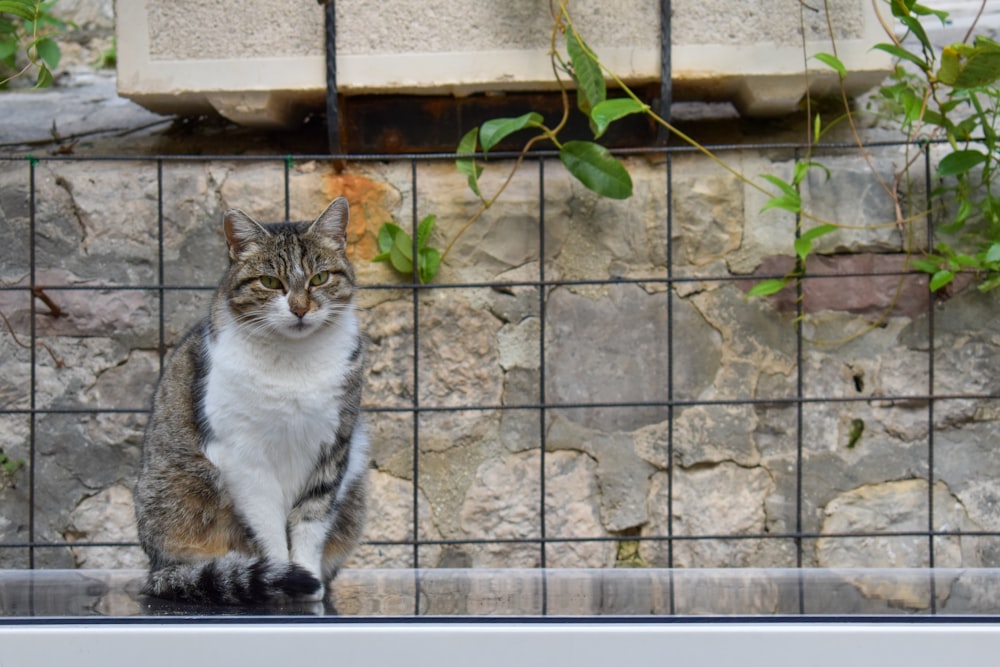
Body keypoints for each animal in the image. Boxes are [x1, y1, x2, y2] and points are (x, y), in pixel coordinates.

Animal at [133, 197, 368, 604]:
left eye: (319, 278)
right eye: (270, 282)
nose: (300, 308)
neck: (294, 360)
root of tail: (154, 568)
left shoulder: (334, 446)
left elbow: (311, 520)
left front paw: (308, 580)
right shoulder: (243, 455)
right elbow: (269, 527)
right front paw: (284, 578)